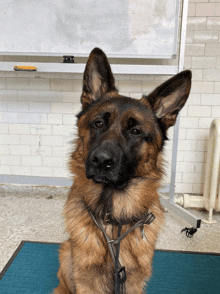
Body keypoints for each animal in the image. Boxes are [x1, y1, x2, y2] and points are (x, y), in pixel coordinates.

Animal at [54, 47, 192, 292]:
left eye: (135, 131)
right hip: (66, 256)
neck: (114, 221)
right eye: (98, 123)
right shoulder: (87, 281)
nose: (101, 161)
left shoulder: (132, 282)